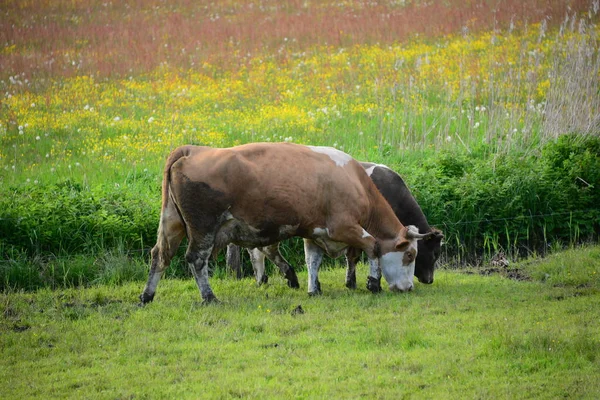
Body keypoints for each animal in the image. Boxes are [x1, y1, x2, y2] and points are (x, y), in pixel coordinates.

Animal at [139, 141, 436, 304]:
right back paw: (209, 297)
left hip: (171, 223)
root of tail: (192, 149)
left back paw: (147, 296)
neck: (355, 181)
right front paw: (373, 284)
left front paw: (313, 289)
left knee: (159, 255)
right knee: (196, 260)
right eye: (410, 255)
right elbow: (373, 246)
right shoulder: (344, 226)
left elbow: (312, 260)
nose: (409, 287)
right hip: (203, 228)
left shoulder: (315, 231)